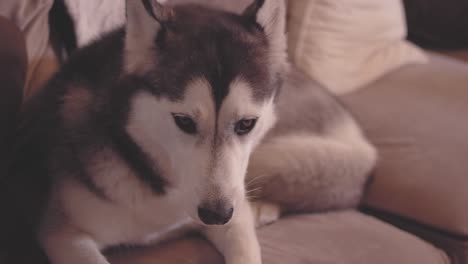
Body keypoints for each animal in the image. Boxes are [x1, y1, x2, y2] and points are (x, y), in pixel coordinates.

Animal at [1, 0, 376, 262]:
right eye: (184, 121)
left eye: (246, 124)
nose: (216, 214)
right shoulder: (63, 235)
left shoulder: (233, 216)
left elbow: (246, 249)